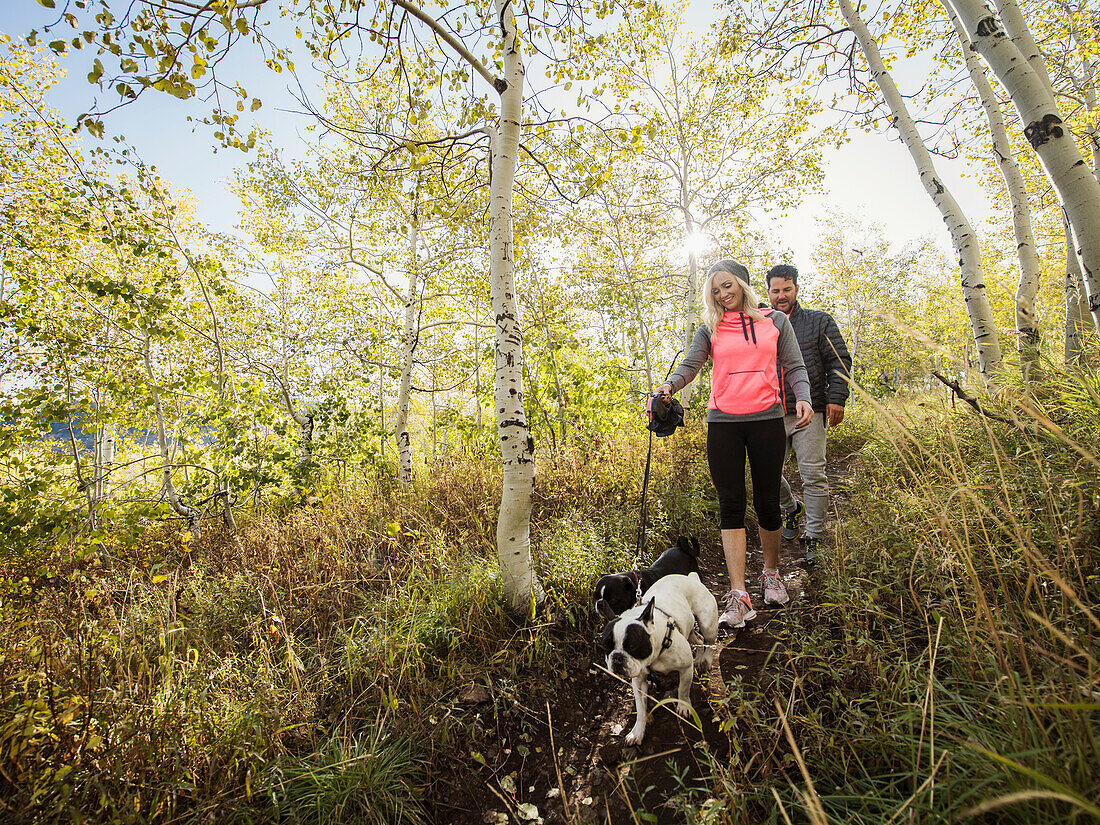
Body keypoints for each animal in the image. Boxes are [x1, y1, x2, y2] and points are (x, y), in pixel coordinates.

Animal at [602, 576, 721, 748]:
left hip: (707, 625)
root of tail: (690, 578)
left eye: (632, 646)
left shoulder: (685, 667)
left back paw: (706, 660)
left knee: (710, 641)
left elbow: (683, 689)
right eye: (605, 646)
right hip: (689, 629)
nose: (617, 657)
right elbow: (641, 709)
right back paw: (699, 658)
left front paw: (683, 706)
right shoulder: (638, 682)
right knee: (698, 639)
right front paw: (637, 731)